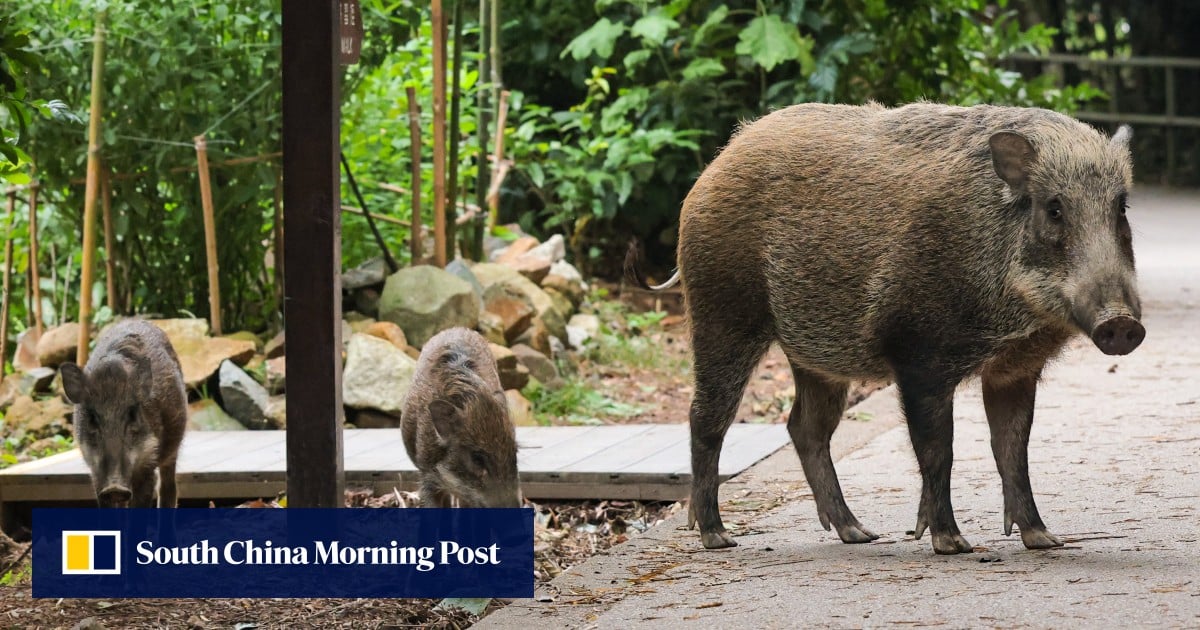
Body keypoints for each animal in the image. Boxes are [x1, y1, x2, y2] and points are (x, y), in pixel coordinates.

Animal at [59, 319, 188, 508]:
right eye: (92, 418)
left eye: (132, 413)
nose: (115, 488)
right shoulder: (96, 473)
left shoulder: (148, 465)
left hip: (173, 449)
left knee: (168, 487)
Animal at [626, 103, 1142, 554]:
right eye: (1054, 208)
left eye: (1120, 208)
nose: (1121, 323)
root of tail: (714, 167)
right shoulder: (917, 356)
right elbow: (938, 449)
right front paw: (951, 544)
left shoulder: (1014, 368)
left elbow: (1012, 449)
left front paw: (1044, 540)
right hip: (723, 314)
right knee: (706, 418)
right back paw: (717, 537)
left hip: (813, 356)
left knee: (804, 426)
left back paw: (859, 534)